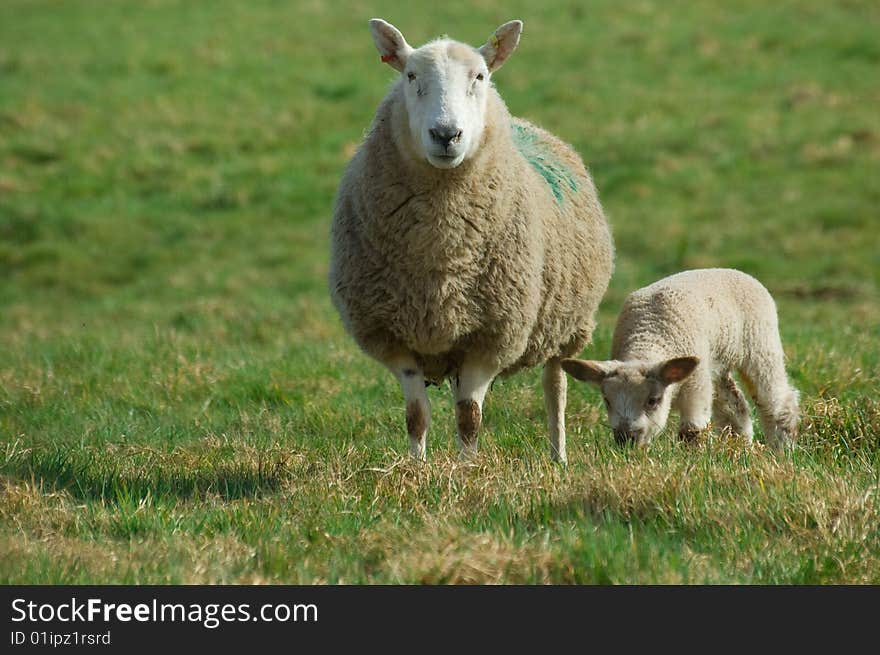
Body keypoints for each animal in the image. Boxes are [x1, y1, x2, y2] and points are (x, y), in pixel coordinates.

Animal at [328, 19, 612, 462]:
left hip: (566, 326)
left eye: (479, 76)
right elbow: (416, 415)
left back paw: (558, 456)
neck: (441, 248)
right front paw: (417, 467)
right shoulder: (394, 336)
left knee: (555, 388)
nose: (446, 134)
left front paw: (467, 469)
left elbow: (468, 417)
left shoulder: (492, 334)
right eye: (411, 76)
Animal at [564, 268, 796, 452]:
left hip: (760, 345)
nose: (626, 440)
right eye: (607, 400)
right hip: (715, 364)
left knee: (777, 399)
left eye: (652, 401)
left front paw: (693, 456)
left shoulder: (695, 386)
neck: (648, 339)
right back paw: (739, 444)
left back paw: (783, 446)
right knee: (734, 404)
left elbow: (692, 430)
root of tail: (739, 272)